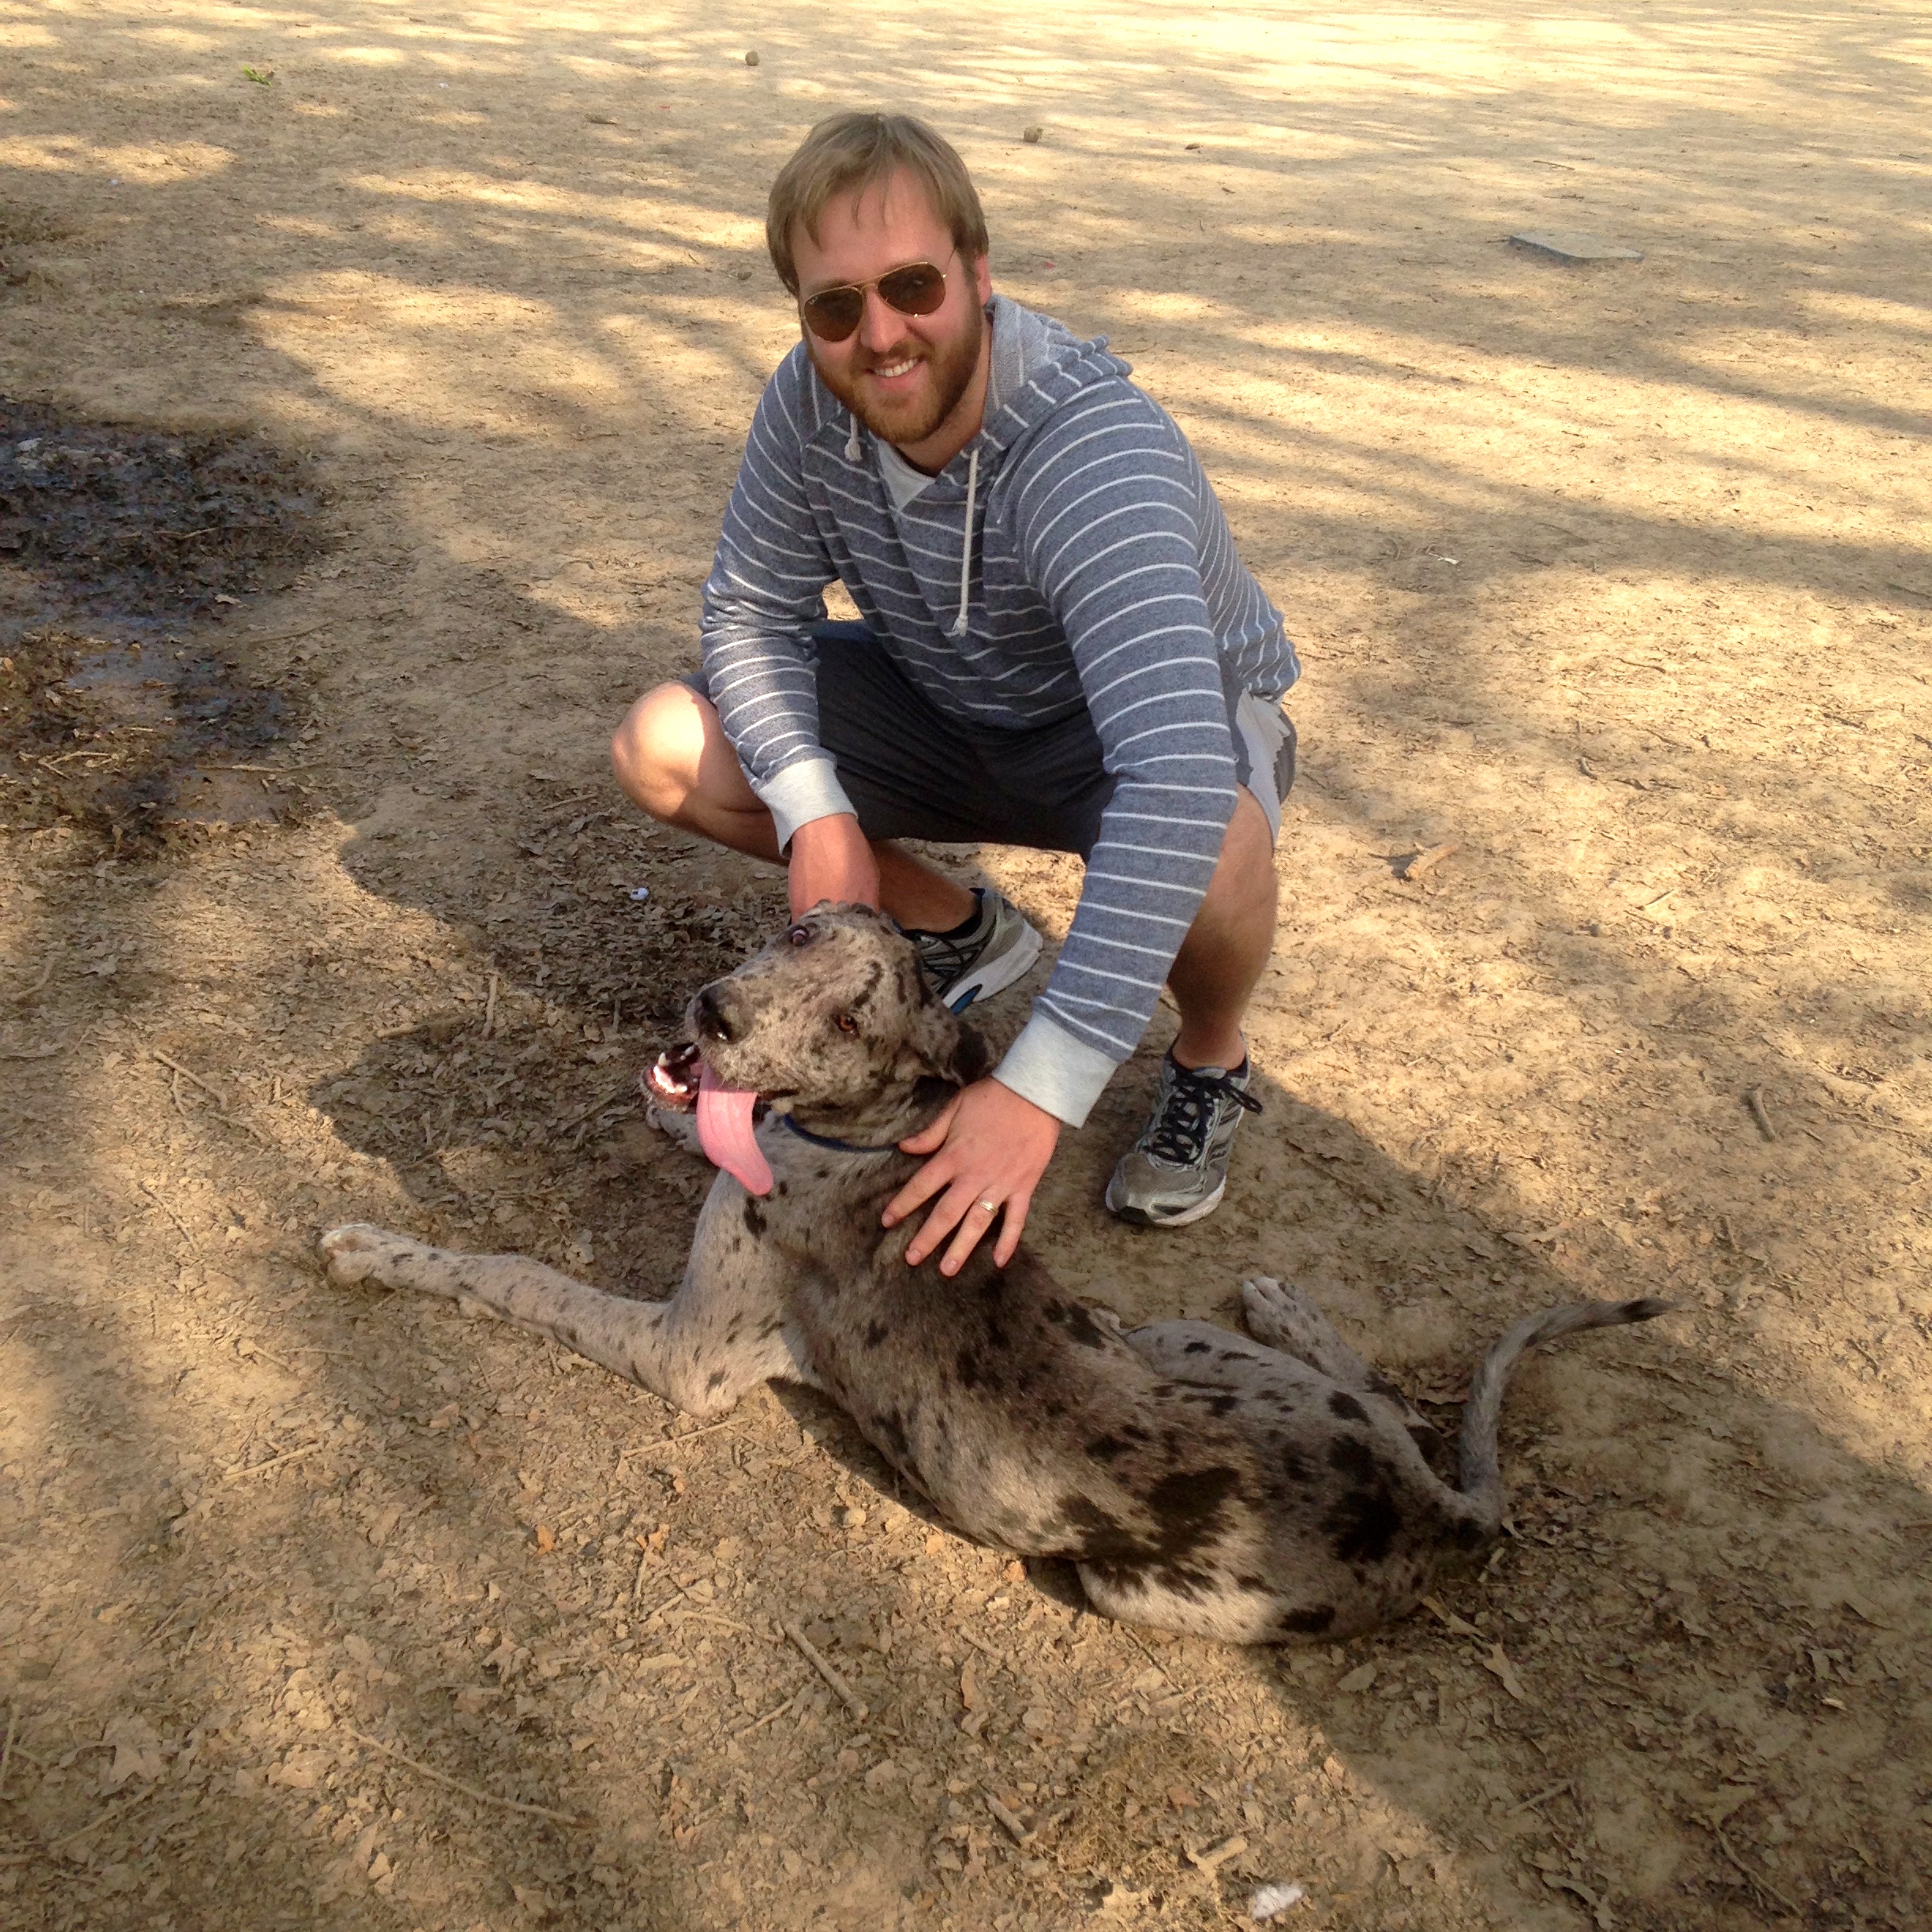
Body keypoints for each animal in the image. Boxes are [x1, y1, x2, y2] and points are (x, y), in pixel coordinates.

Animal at [322, 903, 1670, 1643]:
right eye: (798, 932)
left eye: (850, 1021)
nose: (712, 1013)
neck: (867, 1132)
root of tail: (1431, 1509)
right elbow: (695, 1124)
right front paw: (667, 1102)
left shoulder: (685, 1355)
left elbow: (513, 1272)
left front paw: (374, 1249)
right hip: (1175, 1338)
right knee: (1372, 1389)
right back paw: (1287, 1307)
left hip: (1131, 1585)